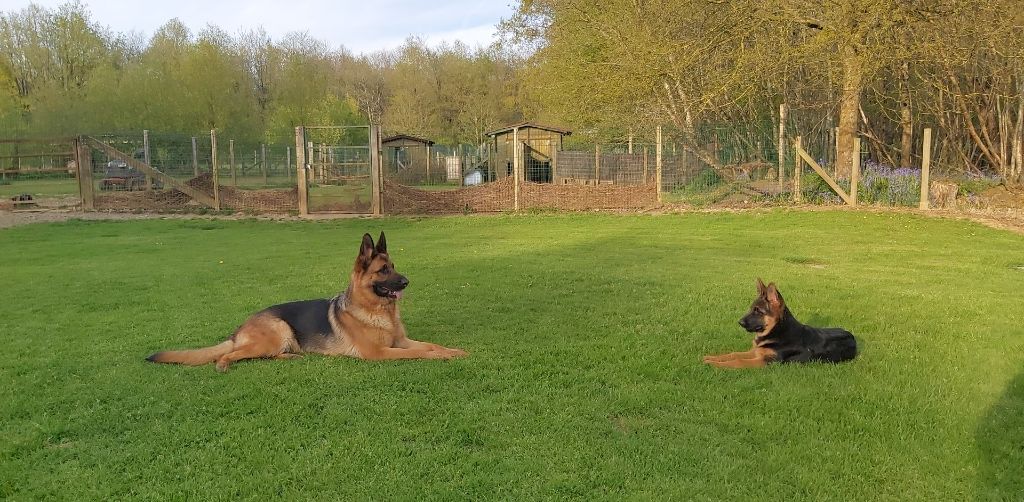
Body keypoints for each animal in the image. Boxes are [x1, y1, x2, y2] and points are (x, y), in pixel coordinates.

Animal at [147, 233, 468, 370]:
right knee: (228, 356)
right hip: (278, 330)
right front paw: (441, 357)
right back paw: (224, 365)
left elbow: (430, 345)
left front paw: (453, 351)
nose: (406, 282)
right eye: (383, 271)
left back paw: (292, 357)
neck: (376, 312)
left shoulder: (400, 341)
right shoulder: (381, 352)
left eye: (394, 267)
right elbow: (420, 352)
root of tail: (239, 330)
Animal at [704, 278, 856, 368]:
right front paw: (711, 358)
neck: (777, 331)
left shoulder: (768, 362)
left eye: (758, 311)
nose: (739, 322)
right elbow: (733, 354)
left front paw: (713, 363)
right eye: (751, 308)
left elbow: (738, 361)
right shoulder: (756, 352)